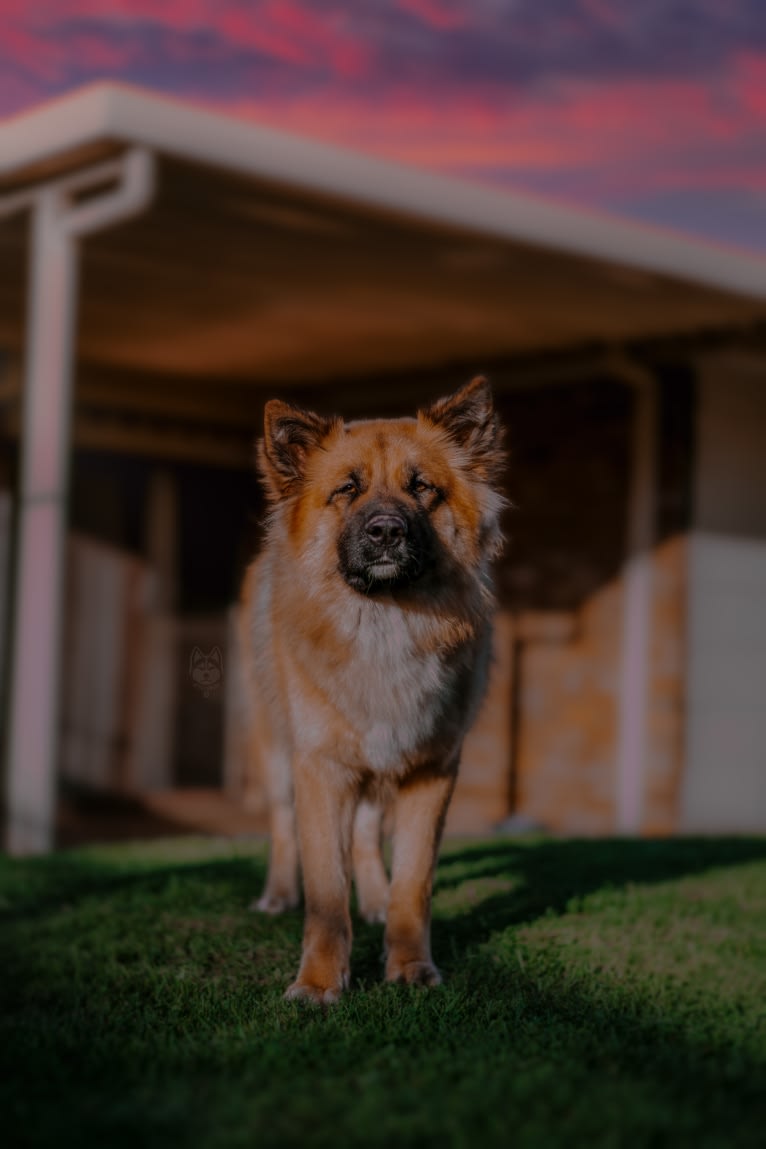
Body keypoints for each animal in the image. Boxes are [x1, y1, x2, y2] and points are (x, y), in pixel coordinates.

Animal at [237, 379, 503, 1006]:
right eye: (347, 490)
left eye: (421, 487)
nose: (385, 531)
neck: (385, 625)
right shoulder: (320, 767)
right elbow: (326, 891)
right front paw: (318, 981)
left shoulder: (429, 769)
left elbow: (413, 881)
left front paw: (408, 965)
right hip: (276, 749)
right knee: (282, 825)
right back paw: (278, 894)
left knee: (364, 834)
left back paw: (376, 900)